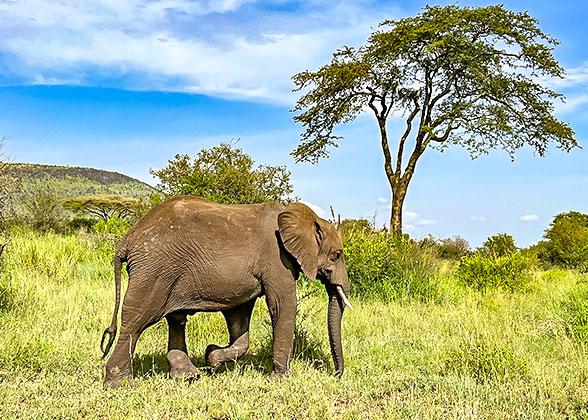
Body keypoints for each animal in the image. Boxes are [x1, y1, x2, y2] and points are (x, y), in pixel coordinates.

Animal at [100, 196, 354, 388]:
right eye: (337, 255)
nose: (335, 375)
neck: (305, 217)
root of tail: (127, 240)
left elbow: (239, 318)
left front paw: (212, 358)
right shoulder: (277, 259)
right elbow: (284, 307)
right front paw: (281, 380)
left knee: (176, 319)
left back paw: (189, 376)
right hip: (154, 269)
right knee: (136, 321)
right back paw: (121, 385)